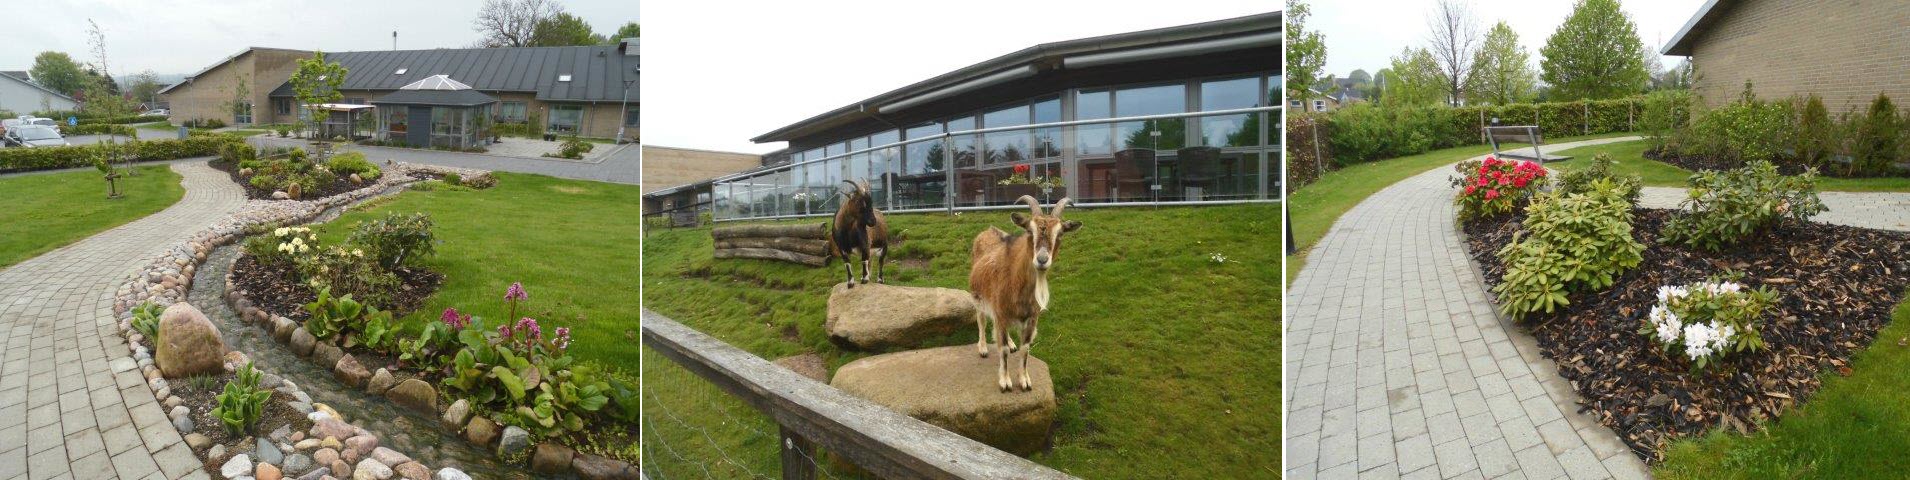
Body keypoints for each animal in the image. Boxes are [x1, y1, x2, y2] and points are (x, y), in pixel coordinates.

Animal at [970, 193, 1077, 392]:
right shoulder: (1000, 312)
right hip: (978, 295)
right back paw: (982, 348)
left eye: (1060, 234)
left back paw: (1012, 343)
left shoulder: (1032, 318)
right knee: (981, 319)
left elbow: (1025, 348)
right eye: (1029, 230)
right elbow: (1002, 348)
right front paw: (1005, 382)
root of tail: (988, 230)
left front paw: (1025, 380)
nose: (1042, 260)